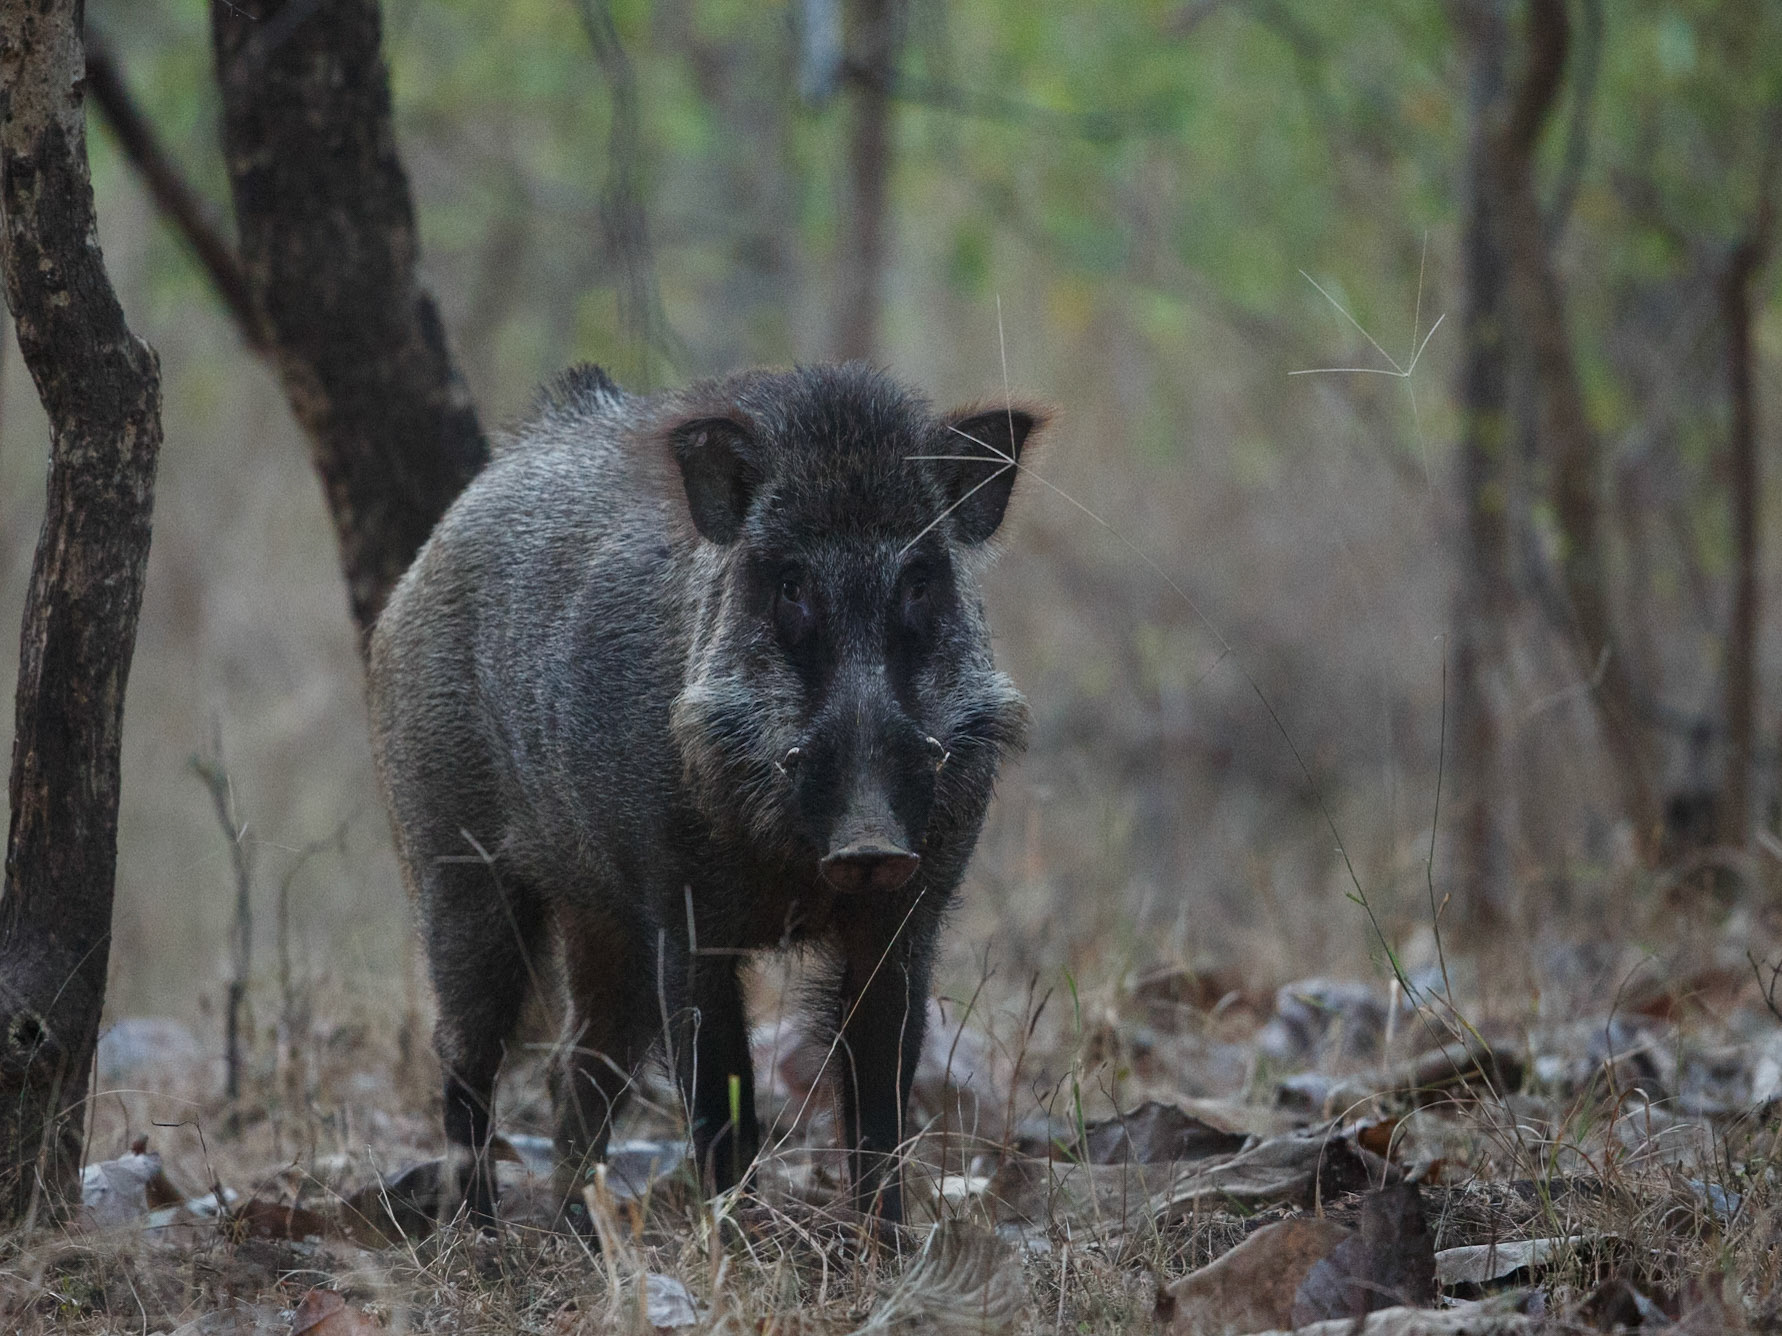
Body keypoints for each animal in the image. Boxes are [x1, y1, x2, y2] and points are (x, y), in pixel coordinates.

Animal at [367, 362, 1039, 1228]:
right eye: (789, 583)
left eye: (921, 581)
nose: (870, 844)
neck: (796, 877)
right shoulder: (684, 911)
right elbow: (723, 1099)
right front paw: (739, 1233)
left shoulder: (907, 915)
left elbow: (879, 1096)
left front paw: (883, 1241)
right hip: (453, 859)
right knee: (466, 1051)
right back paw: (479, 1229)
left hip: (599, 913)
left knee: (580, 1063)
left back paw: (575, 1228)